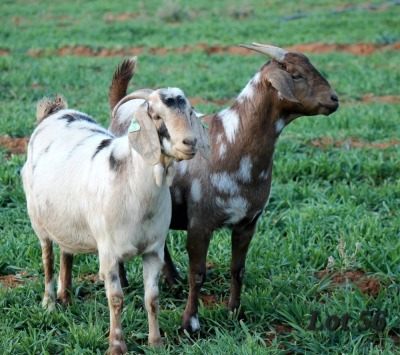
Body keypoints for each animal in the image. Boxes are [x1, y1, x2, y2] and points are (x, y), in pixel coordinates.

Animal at [22, 57, 209, 354]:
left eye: (189, 111)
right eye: (157, 116)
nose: (189, 143)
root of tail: (54, 113)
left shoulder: (154, 249)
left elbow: (152, 297)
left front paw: (155, 342)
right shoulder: (108, 252)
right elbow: (116, 298)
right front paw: (117, 345)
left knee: (66, 253)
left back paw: (66, 298)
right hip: (38, 219)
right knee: (48, 256)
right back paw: (49, 303)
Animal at [112, 43, 338, 334]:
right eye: (296, 75)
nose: (334, 99)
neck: (231, 144)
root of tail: (122, 107)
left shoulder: (248, 221)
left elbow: (237, 269)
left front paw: (234, 311)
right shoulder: (200, 222)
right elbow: (198, 274)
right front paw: (190, 323)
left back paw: (173, 281)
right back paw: (126, 283)